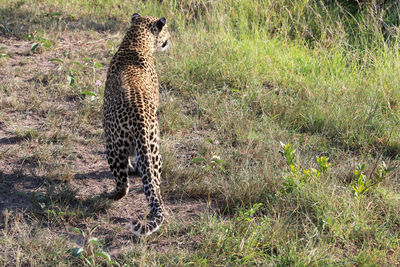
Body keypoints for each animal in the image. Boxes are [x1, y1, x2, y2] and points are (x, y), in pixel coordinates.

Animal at [103, 13, 170, 238]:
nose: (169, 39)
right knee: (154, 186)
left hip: (112, 147)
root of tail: (140, 119)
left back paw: (110, 195)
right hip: (153, 149)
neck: (134, 42)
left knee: (123, 185)